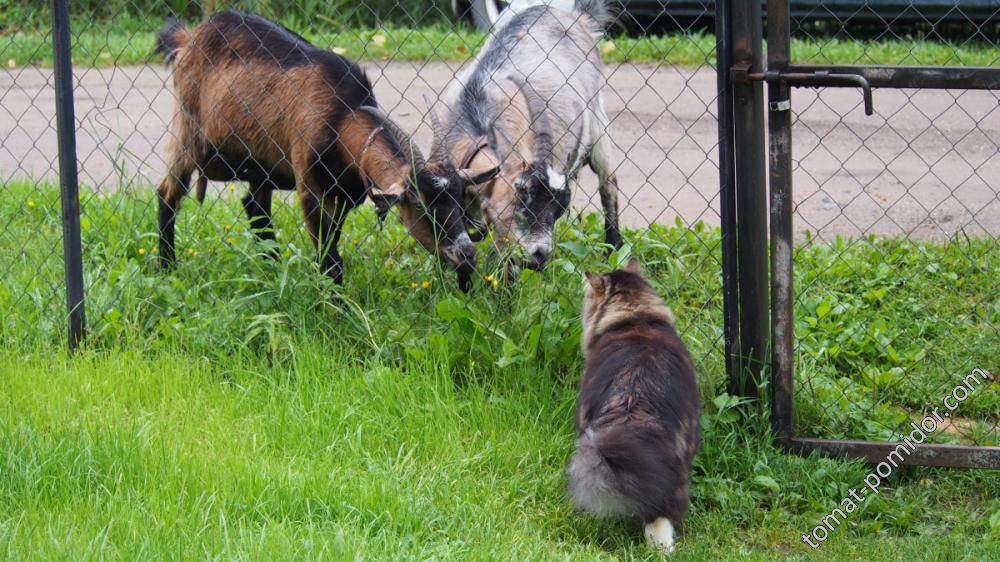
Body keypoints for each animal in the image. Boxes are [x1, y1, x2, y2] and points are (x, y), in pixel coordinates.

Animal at [428, 0, 616, 270]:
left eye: (560, 208)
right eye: (521, 193)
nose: (540, 255)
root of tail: (576, 17)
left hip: (598, 125)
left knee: (609, 184)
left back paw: (614, 250)